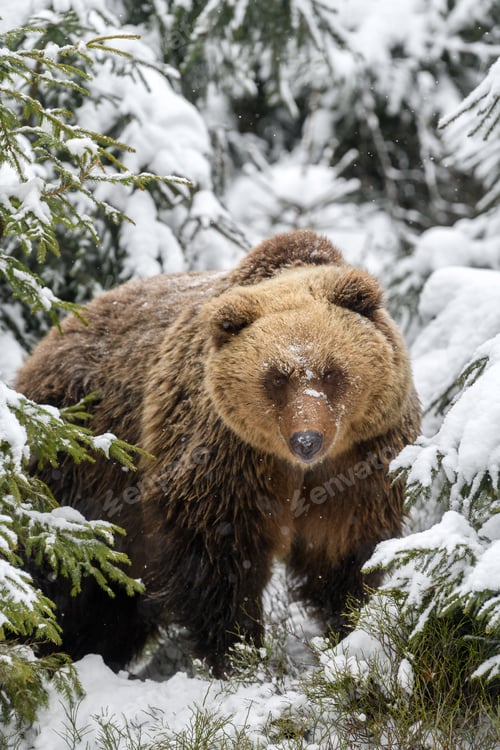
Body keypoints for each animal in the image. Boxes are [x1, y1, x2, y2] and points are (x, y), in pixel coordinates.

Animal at [16, 229, 420, 676]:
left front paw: (352, 630)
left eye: (332, 372)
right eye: (275, 378)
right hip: (74, 465)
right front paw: (239, 653)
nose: (307, 439)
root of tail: (43, 348)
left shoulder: (360, 460)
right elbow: (218, 556)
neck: (293, 469)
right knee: (55, 572)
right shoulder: (224, 455)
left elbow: (342, 551)